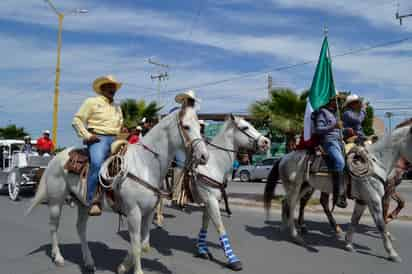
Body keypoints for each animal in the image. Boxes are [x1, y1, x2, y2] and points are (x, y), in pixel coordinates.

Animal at [26, 107, 209, 274]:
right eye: (186, 126)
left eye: (199, 127)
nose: (204, 156)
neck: (145, 164)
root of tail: (55, 158)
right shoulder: (134, 213)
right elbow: (136, 245)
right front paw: (136, 271)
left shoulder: (148, 213)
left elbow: (143, 244)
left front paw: (123, 266)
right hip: (56, 201)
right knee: (53, 227)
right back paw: (58, 257)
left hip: (83, 204)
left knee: (80, 229)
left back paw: (89, 261)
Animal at [190, 114, 270, 270]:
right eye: (245, 127)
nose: (266, 142)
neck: (212, 165)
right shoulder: (210, 200)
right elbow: (220, 228)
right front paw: (233, 260)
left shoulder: (210, 201)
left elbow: (205, 224)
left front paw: (202, 250)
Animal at [262, 125, 412, 262]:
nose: (405, 171)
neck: (375, 162)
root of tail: (283, 158)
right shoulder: (374, 200)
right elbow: (381, 225)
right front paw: (392, 253)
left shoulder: (362, 201)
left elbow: (355, 220)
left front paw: (348, 244)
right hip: (295, 187)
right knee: (292, 205)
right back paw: (295, 236)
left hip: (304, 187)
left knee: (286, 203)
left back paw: (284, 227)